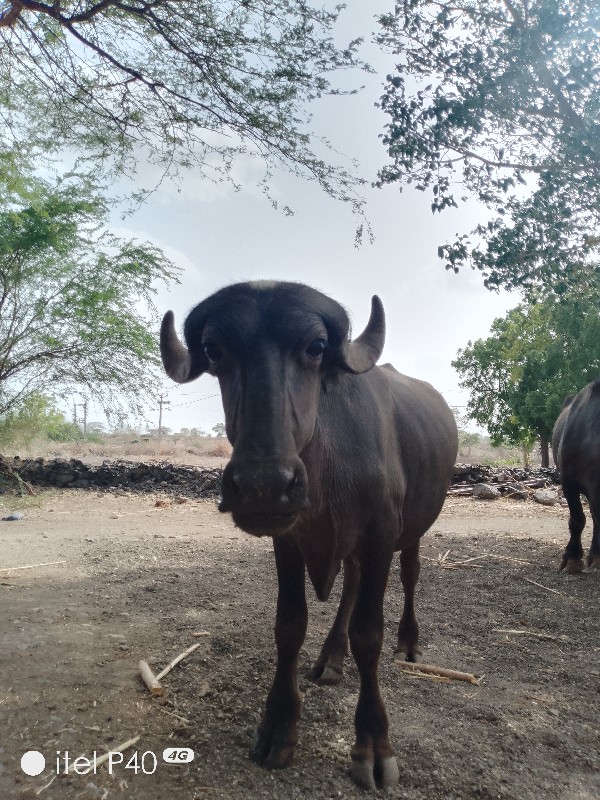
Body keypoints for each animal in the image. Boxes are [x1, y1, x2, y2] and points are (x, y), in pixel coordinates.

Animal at [159, 282, 454, 788]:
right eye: (215, 350)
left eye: (316, 347)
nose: (264, 486)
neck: (326, 470)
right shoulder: (289, 541)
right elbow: (289, 625)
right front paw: (278, 726)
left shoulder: (380, 536)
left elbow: (369, 635)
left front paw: (373, 744)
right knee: (351, 583)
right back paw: (331, 656)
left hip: (414, 528)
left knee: (411, 575)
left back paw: (409, 641)